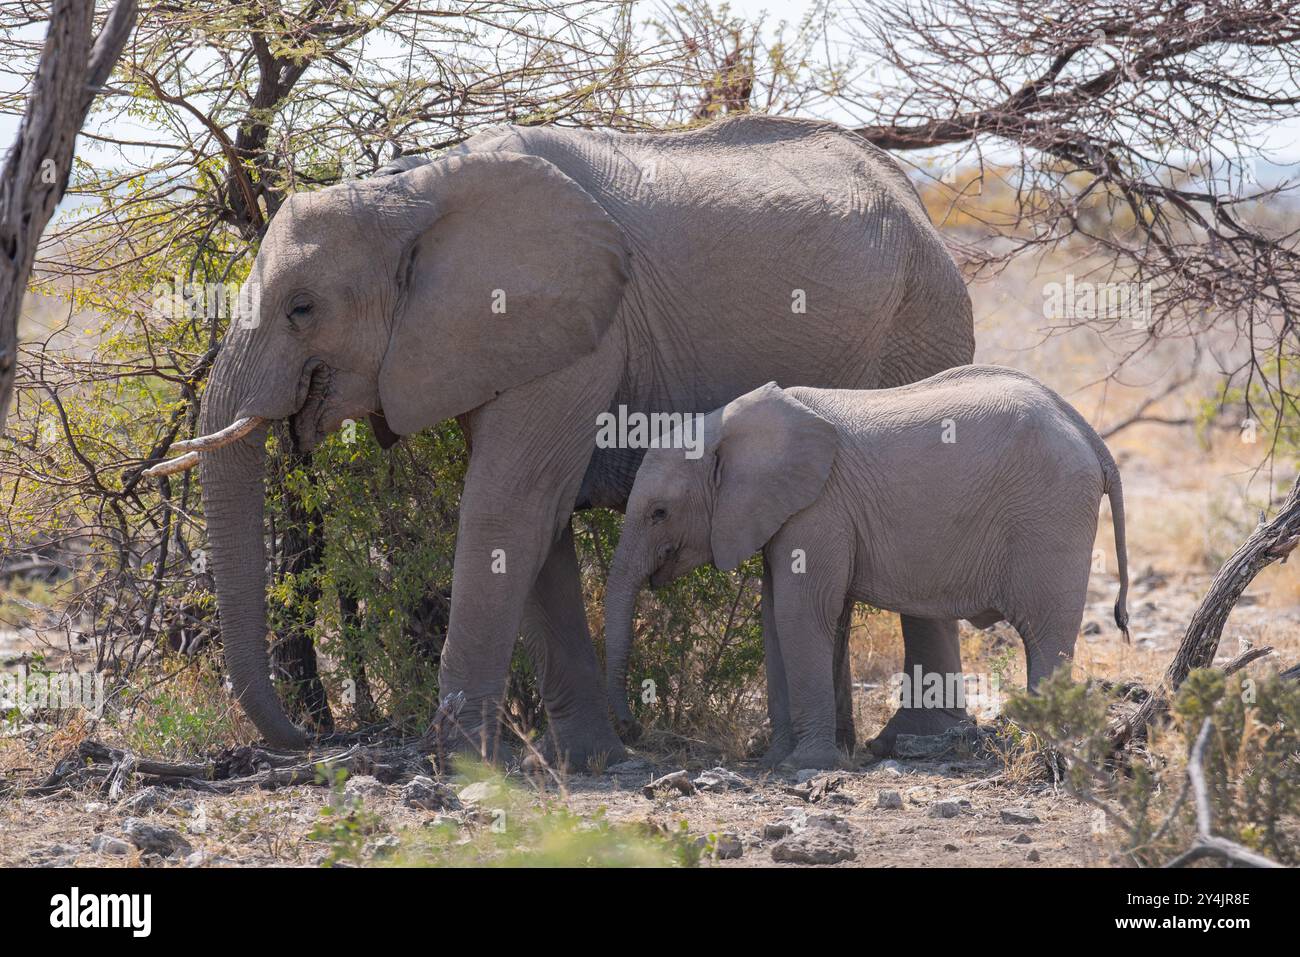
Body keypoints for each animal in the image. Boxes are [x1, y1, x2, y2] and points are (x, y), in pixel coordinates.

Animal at [188, 115, 972, 764]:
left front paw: (459, 760)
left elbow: (509, 508)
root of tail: (917, 203)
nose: (311, 736)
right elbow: (539, 528)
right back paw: (837, 745)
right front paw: (586, 758)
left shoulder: (582, 336)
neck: (413, 189)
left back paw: (917, 743)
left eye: (302, 309)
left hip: (922, 326)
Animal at [608, 366, 1128, 769]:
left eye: (659, 513)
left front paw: (807, 765)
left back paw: (1036, 749)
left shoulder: (820, 508)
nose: (631, 730)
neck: (727, 426)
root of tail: (1090, 436)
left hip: (1051, 513)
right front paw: (775, 761)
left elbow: (801, 614)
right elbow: (774, 618)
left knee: (1045, 635)